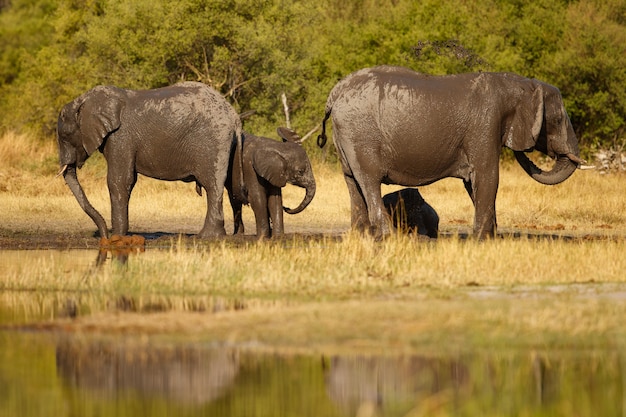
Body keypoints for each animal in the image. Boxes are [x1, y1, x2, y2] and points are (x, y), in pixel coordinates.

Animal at [56, 81, 241, 239]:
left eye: (65, 136)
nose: (103, 235)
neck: (83, 101)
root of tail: (234, 115)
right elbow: (129, 181)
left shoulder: (120, 136)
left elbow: (118, 181)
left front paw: (117, 237)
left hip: (214, 141)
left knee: (212, 185)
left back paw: (206, 236)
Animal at [316, 66, 584, 239]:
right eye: (558, 120)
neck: (520, 85)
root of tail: (334, 95)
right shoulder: (486, 124)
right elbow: (487, 178)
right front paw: (483, 240)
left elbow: (473, 183)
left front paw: (492, 237)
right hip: (361, 134)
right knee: (369, 181)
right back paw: (389, 237)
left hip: (347, 136)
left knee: (353, 183)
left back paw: (360, 237)